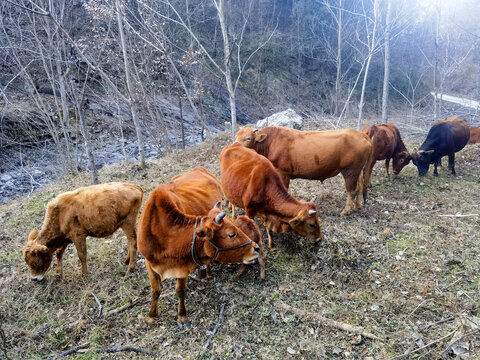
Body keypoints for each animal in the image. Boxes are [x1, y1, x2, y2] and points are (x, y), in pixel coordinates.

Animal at [139, 170, 258, 328]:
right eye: (231, 234)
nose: (256, 248)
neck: (163, 234)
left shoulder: (183, 266)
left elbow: (180, 291)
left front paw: (182, 316)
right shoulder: (149, 262)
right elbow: (155, 291)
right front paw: (152, 316)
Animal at [236, 127, 376, 217]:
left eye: (248, 138)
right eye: (236, 136)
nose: (235, 146)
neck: (270, 142)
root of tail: (361, 134)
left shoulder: (283, 172)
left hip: (350, 171)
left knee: (352, 190)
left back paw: (345, 211)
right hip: (358, 171)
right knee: (360, 186)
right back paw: (357, 206)